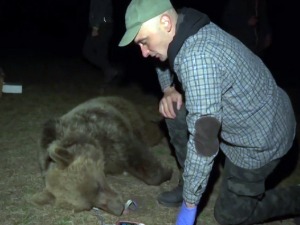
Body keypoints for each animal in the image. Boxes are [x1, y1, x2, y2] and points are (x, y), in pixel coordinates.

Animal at [31, 96, 172, 215]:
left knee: (151, 131)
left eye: (97, 186)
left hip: (133, 117)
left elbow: (138, 157)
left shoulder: (113, 134)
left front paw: (166, 172)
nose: (119, 209)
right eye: (89, 206)